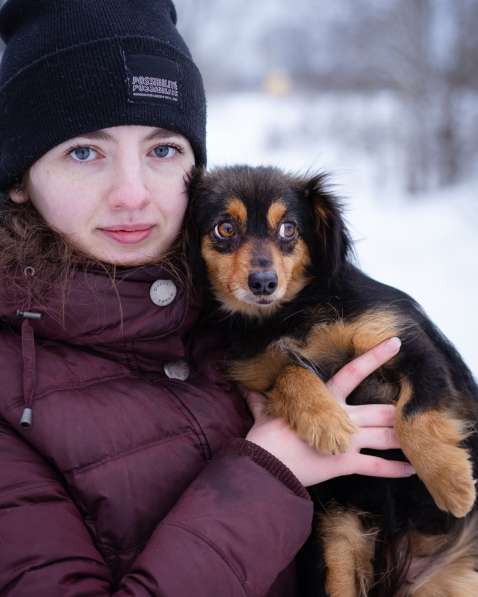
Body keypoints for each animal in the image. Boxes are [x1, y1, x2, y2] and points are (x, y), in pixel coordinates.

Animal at [185, 164, 478, 596]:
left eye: (289, 228)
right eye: (224, 228)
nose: (264, 282)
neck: (288, 315)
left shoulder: (405, 344)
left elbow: (414, 416)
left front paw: (453, 484)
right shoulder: (258, 374)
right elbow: (290, 371)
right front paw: (326, 421)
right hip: (337, 541)